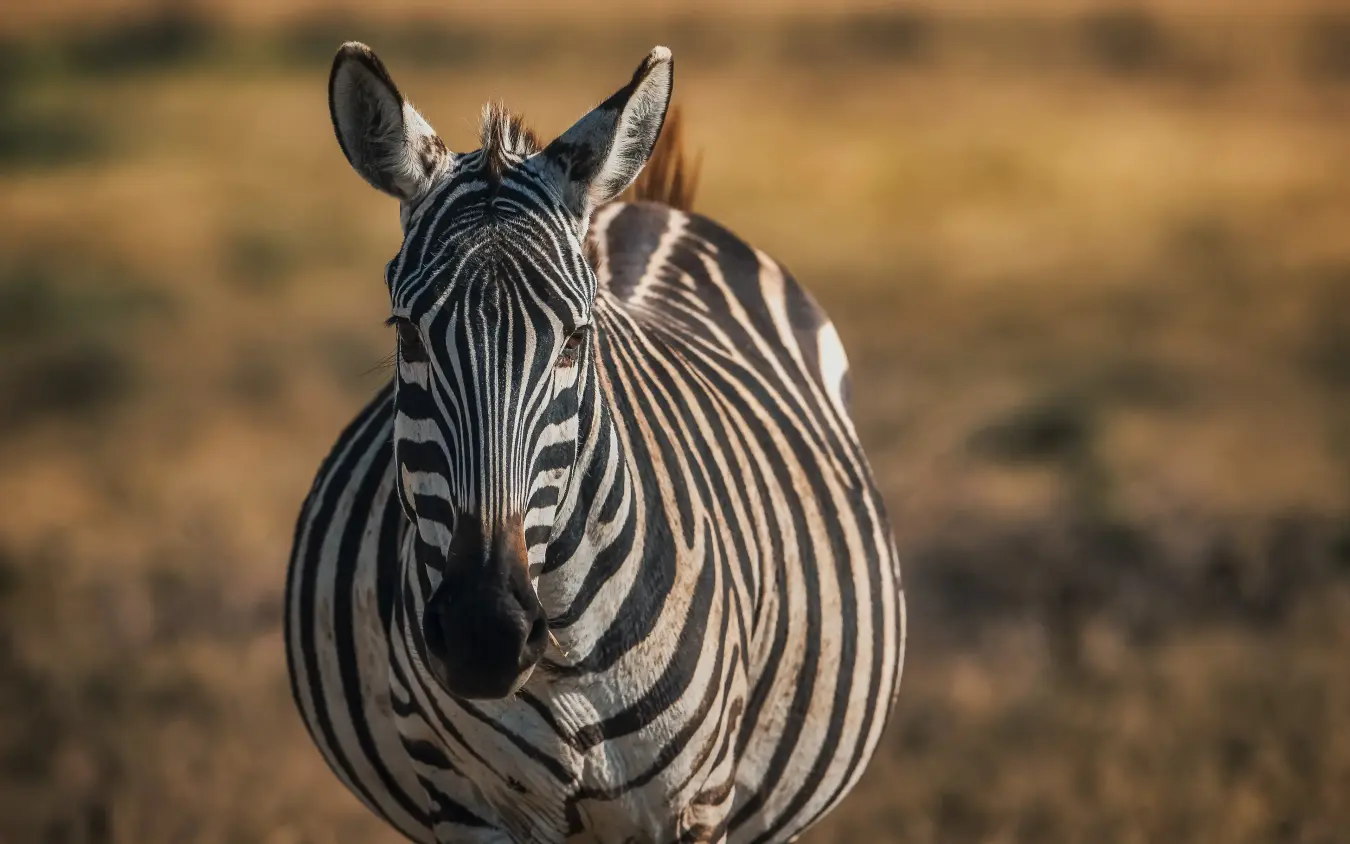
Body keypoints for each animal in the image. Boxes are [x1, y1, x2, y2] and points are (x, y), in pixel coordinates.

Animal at [285, 41, 906, 844]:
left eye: (578, 339)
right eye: (407, 335)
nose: (485, 634)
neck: (564, 667)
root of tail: (648, 205)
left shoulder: (696, 804)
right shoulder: (464, 801)